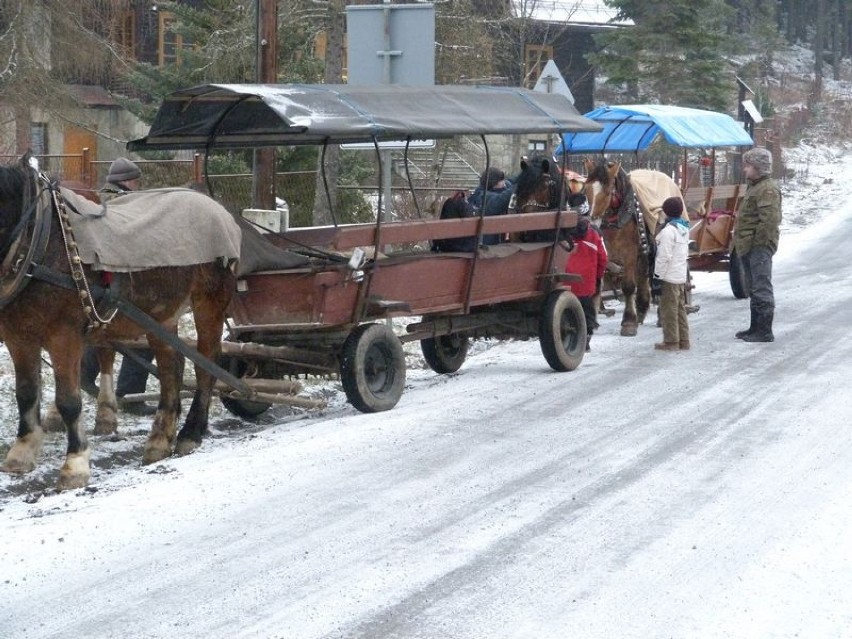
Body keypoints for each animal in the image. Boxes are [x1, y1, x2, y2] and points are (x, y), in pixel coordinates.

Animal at [0, 160, 238, 490]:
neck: (40, 241)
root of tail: (210, 202)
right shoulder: (18, 336)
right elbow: (25, 393)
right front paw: (22, 452)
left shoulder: (64, 336)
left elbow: (69, 400)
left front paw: (75, 464)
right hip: (161, 315)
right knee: (171, 370)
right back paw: (159, 439)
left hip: (210, 302)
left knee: (206, 365)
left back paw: (190, 433)